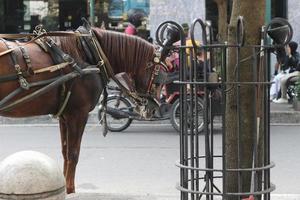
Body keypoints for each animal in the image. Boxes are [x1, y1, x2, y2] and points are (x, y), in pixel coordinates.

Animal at [0, 27, 155, 193]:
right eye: (160, 72)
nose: (153, 108)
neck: (88, 53)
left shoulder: (64, 115)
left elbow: (65, 152)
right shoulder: (78, 114)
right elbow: (73, 154)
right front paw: (69, 189)